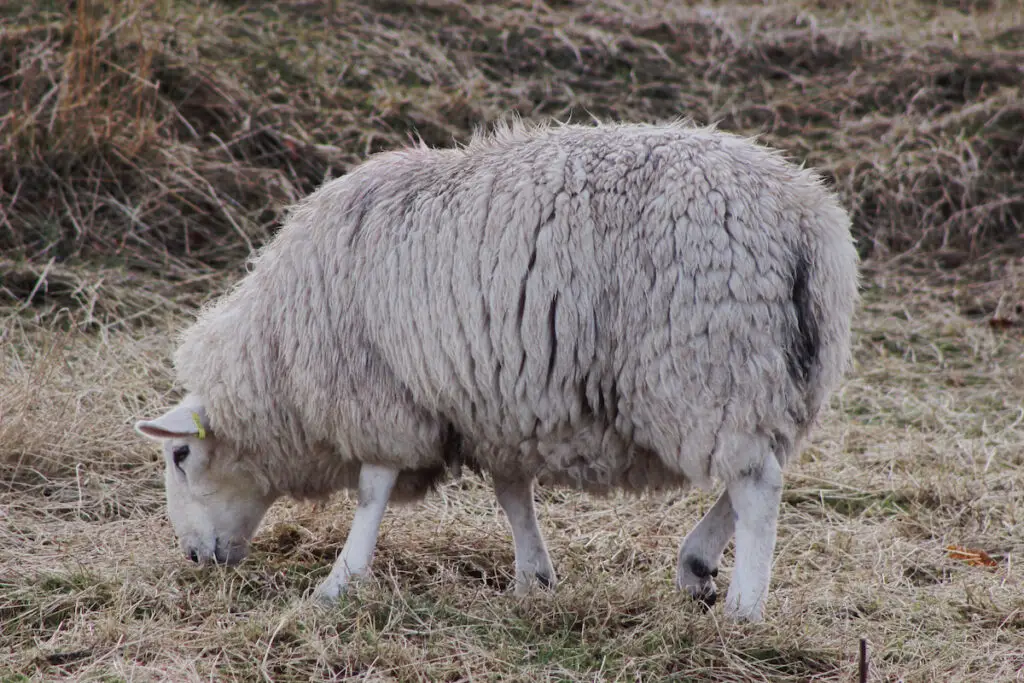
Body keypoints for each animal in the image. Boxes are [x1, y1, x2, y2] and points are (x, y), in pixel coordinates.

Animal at [134, 120, 856, 622]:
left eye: (179, 457)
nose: (194, 557)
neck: (278, 360)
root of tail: (804, 217)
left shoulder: (379, 393)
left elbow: (372, 491)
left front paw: (340, 580)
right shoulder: (492, 407)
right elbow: (513, 495)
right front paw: (533, 574)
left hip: (709, 364)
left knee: (756, 485)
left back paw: (744, 606)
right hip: (773, 378)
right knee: (758, 470)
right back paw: (698, 564)